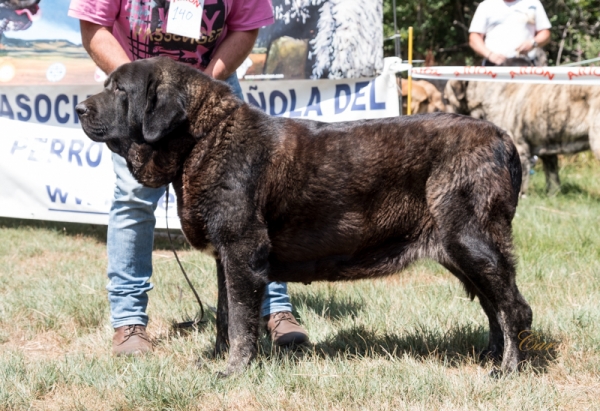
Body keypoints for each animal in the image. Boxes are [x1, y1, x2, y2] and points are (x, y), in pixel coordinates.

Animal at [77, 57, 532, 376]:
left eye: (119, 89)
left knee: (514, 308)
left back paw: (508, 370)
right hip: (461, 251)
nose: (79, 107)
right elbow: (225, 315)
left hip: (472, 241)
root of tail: (503, 139)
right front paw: (218, 359)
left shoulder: (242, 251)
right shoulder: (227, 259)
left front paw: (233, 369)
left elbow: (240, 319)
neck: (203, 139)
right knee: (494, 306)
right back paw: (490, 357)